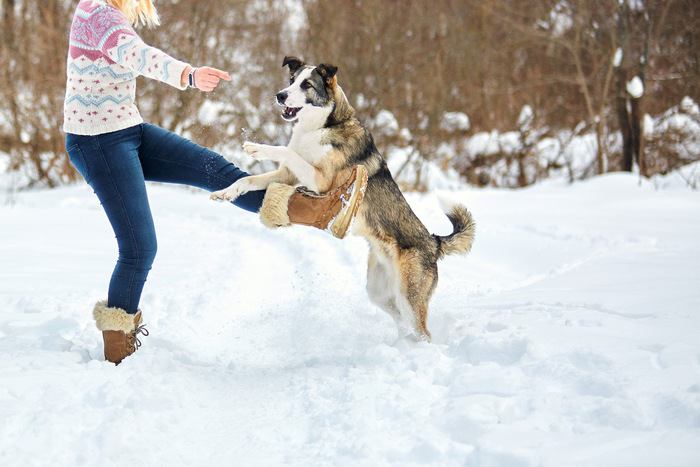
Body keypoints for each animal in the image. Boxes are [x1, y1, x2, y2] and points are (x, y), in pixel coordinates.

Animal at [211, 57, 476, 344]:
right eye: (291, 80)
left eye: (306, 85)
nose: (280, 95)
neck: (322, 126)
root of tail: (434, 243)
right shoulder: (287, 176)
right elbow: (248, 180)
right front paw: (226, 192)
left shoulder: (322, 180)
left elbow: (284, 151)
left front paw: (257, 148)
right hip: (379, 291)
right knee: (400, 319)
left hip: (410, 294)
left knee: (422, 331)